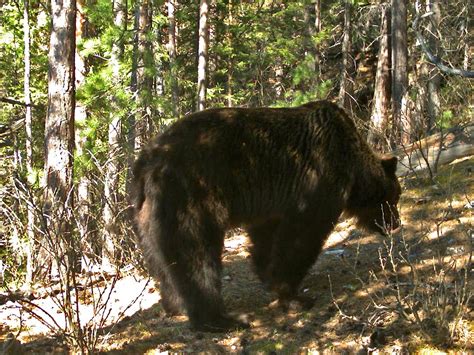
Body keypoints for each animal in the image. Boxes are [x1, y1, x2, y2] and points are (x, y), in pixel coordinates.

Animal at [131, 100, 402, 334]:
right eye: (394, 197)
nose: (396, 223)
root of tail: (146, 162)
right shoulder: (319, 181)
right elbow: (302, 236)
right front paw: (294, 295)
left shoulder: (272, 201)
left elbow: (266, 236)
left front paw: (267, 275)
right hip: (191, 196)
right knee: (196, 255)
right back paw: (222, 319)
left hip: (147, 215)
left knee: (161, 259)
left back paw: (175, 305)